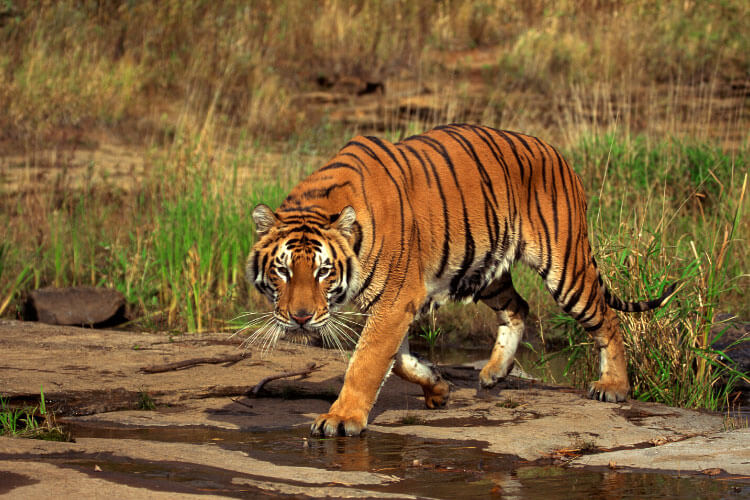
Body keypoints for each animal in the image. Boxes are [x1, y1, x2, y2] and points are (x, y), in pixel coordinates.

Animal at [245, 124, 676, 438]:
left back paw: (614, 386)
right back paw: (494, 372)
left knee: (607, 318)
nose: (300, 318)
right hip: (484, 270)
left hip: (565, 267)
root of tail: (559, 154)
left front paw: (341, 418)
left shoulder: (396, 297)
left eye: (323, 271)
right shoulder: (397, 302)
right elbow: (398, 360)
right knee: (519, 306)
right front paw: (437, 387)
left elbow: (366, 362)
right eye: (283, 270)